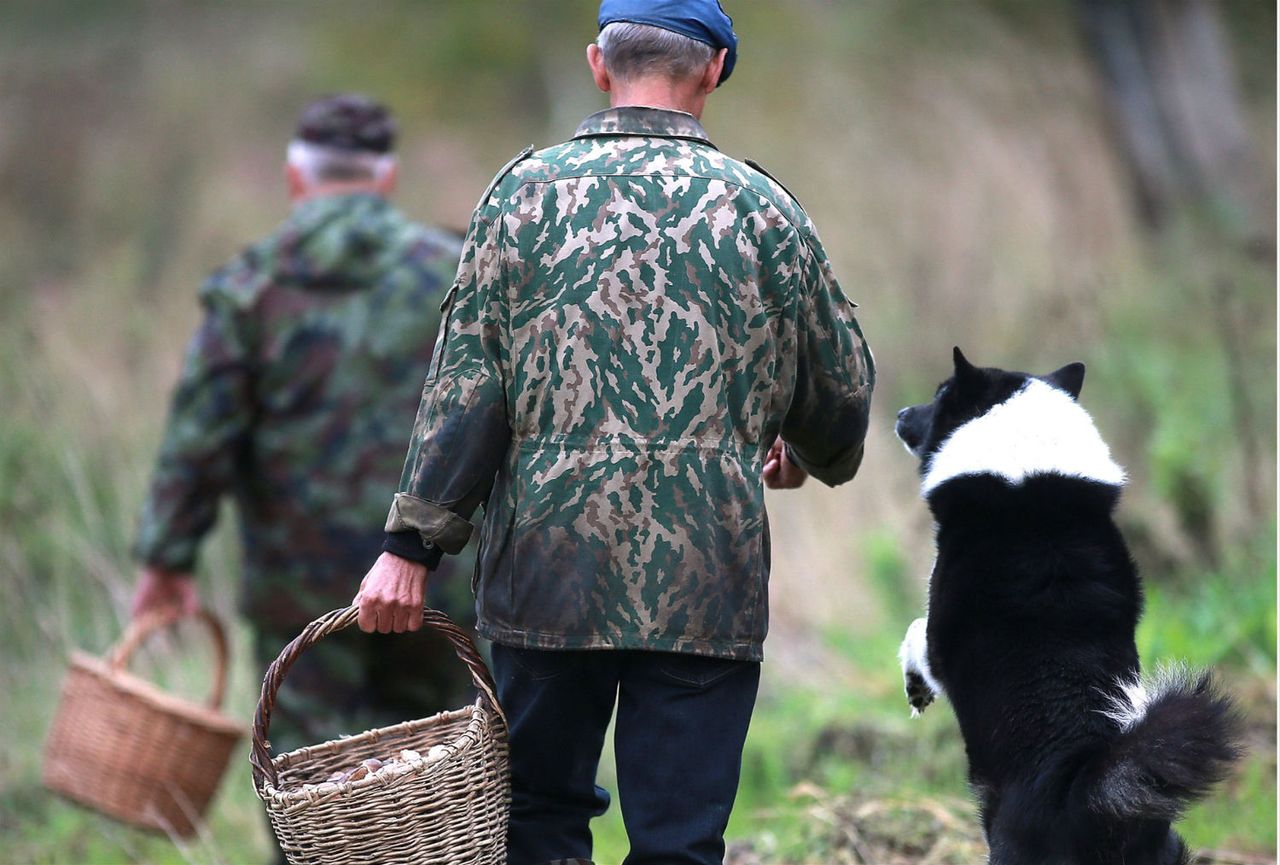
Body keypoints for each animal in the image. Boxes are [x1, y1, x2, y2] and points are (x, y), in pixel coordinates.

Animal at [901, 350, 1239, 865]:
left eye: (941, 394)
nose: (900, 414)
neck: (1026, 482)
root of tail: (1084, 797)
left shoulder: (940, 641)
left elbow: (916, 633)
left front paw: (916, 687)